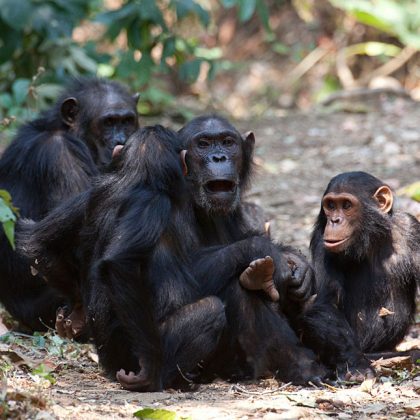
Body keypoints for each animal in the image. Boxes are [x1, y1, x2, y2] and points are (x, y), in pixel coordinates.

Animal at [298, 171, 420, 380]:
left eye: (346, 205)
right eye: (331, 206)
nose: (334, 220)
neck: (372, 239)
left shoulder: (412, 228)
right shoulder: (321, 242)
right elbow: (324, 304)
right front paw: (356, 364)